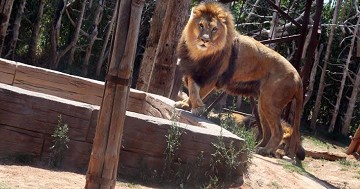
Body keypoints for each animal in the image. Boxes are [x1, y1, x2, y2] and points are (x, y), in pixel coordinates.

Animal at [176, 2, 306, 160]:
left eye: (214, 29)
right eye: (201, 25)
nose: (205, 40)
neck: (199, 53)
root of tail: (298, 77)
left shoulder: (211, 77)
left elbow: (197, 92)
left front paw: (195, 107)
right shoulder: (194, 69)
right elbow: (192, 88)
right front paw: (185, 104)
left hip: (270, 102)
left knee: (278, 131)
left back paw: (265, 150)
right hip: (262, 105)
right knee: (268, 132)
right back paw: (256, 147)